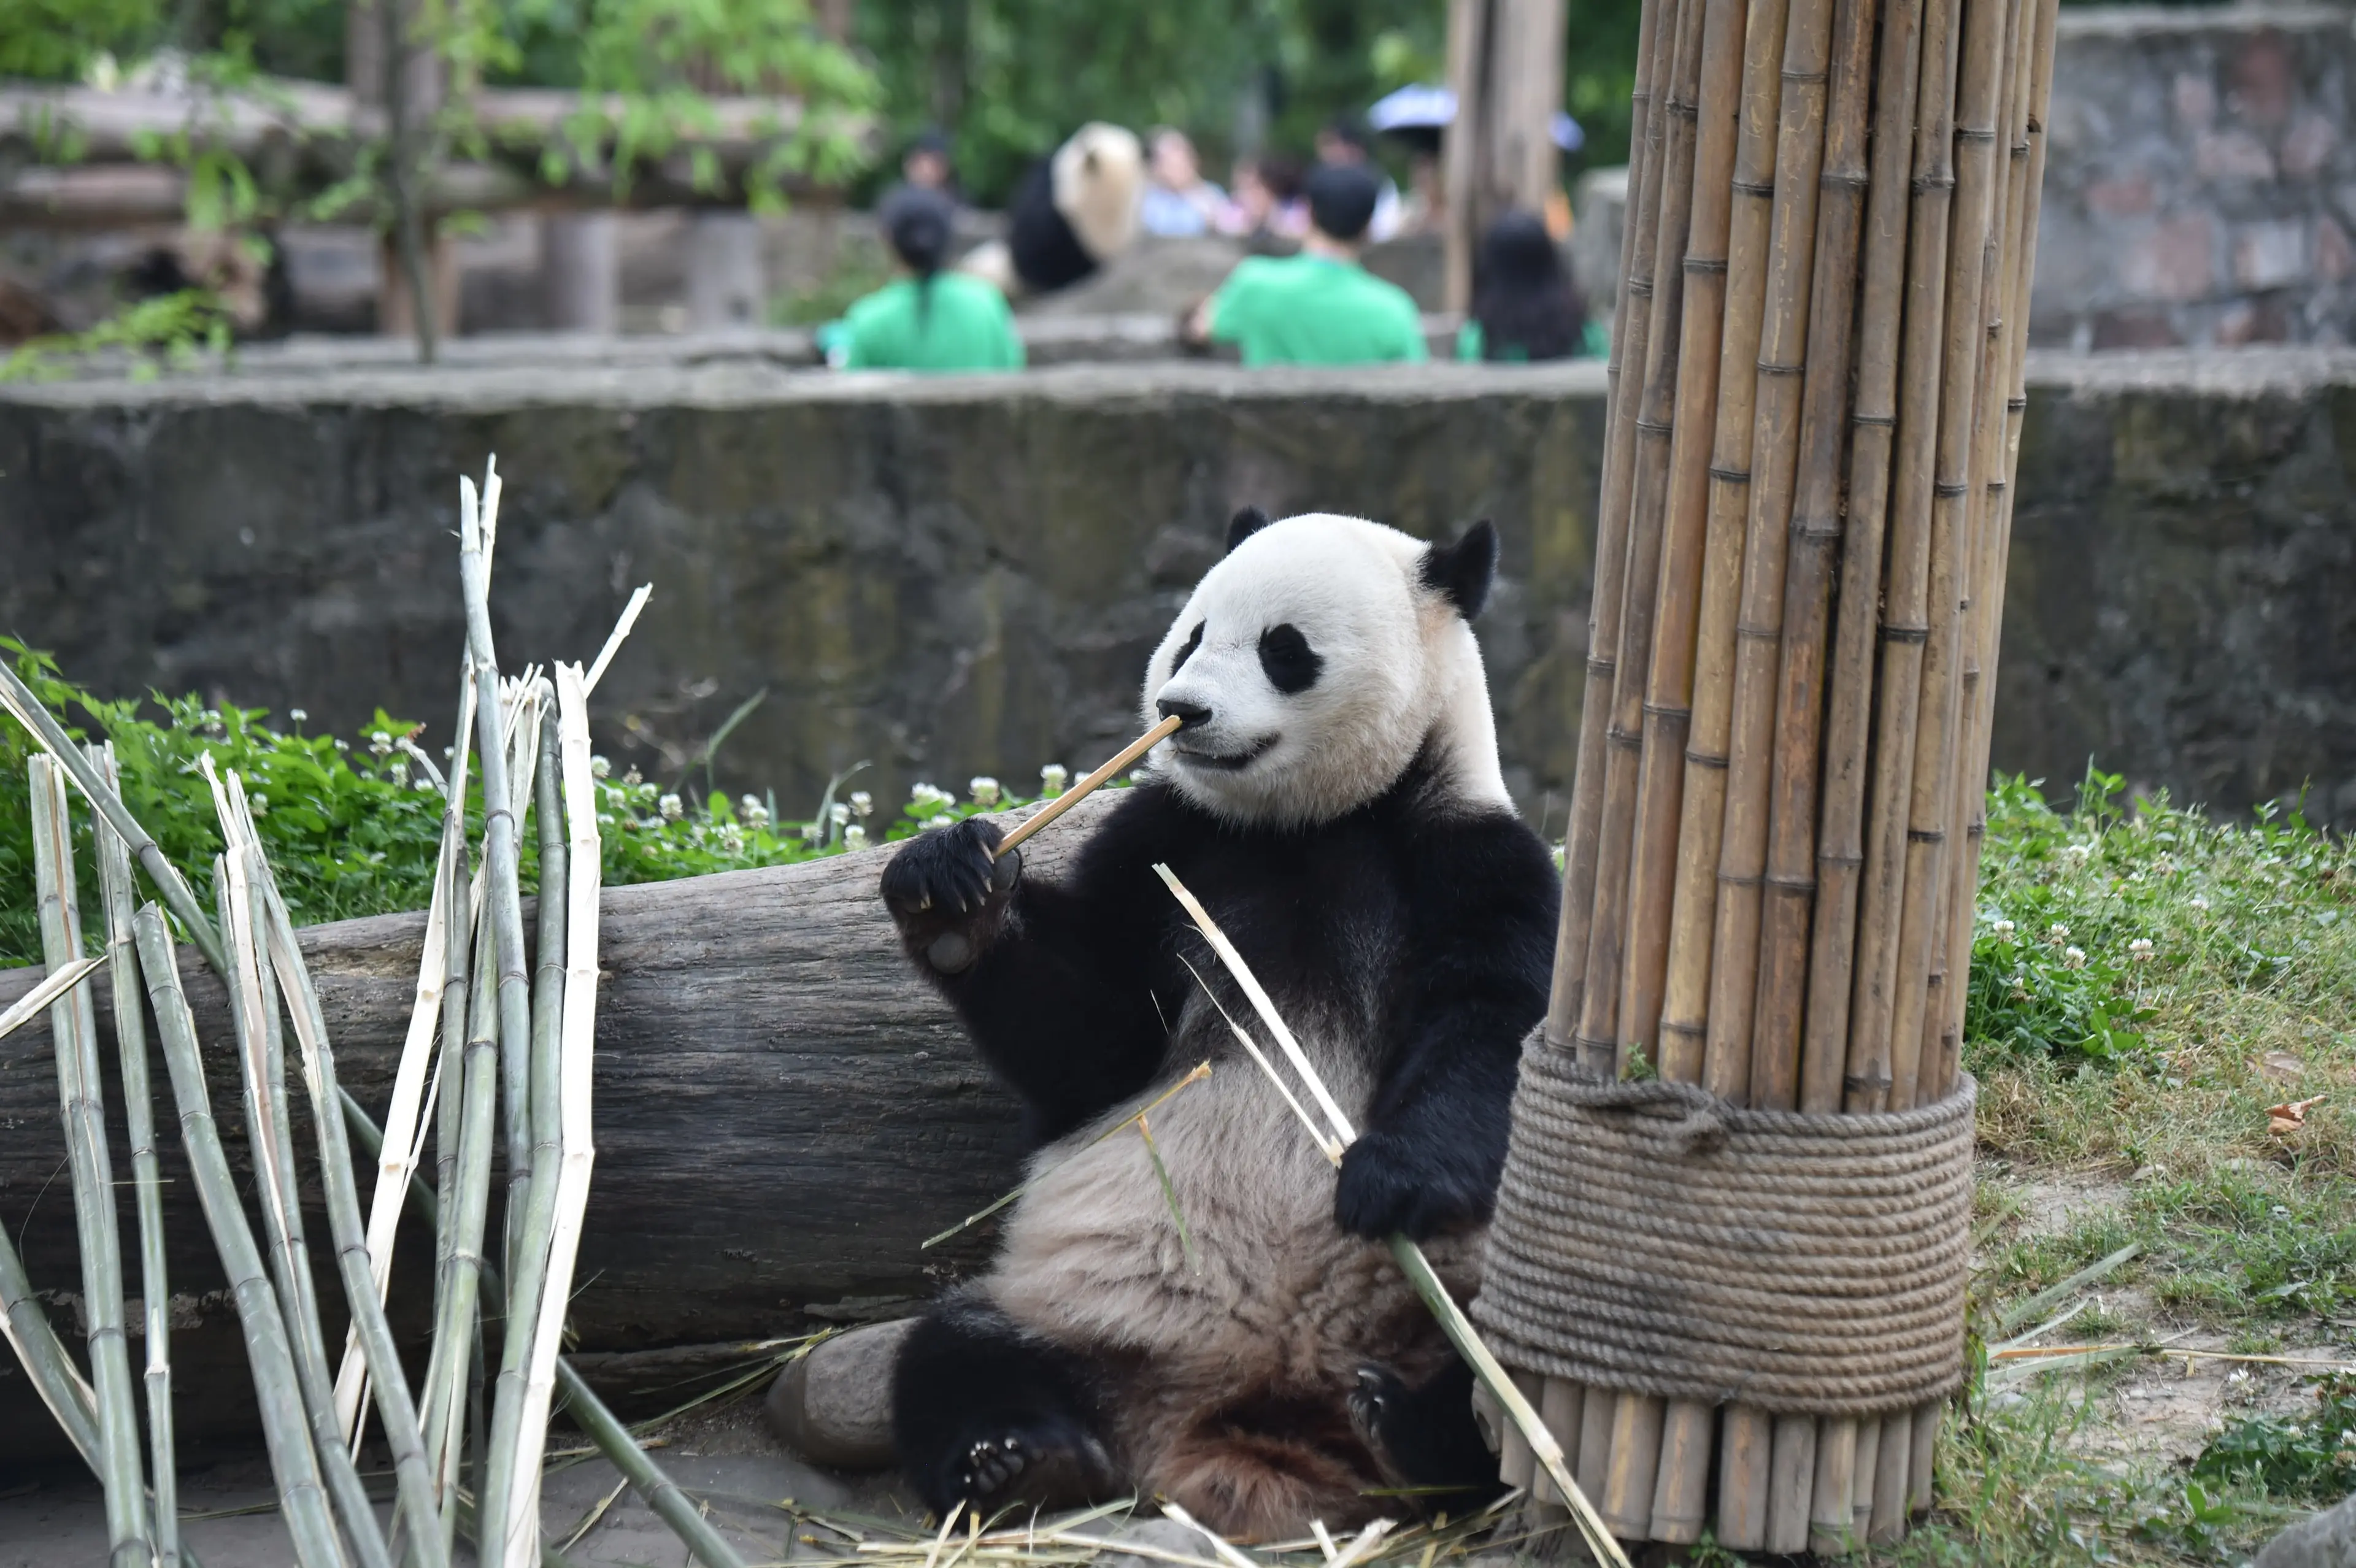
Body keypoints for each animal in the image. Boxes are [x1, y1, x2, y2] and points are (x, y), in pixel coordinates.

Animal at [878, 510, 1561, 1538]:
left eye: (1284, 649)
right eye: (1193, 634)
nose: (1182, 707)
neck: (1311, 825)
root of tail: (1241, 1414)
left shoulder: (1473, 854)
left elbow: (1493, 1032)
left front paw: (1388, 1180)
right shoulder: (1168, 849)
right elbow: (1097, 1043)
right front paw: (953, 890)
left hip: (1462, 1284)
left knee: (1510, 1370)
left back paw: (1412, 1430)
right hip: (1079, 1309)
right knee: (954, 1351)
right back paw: (1019, 1460)